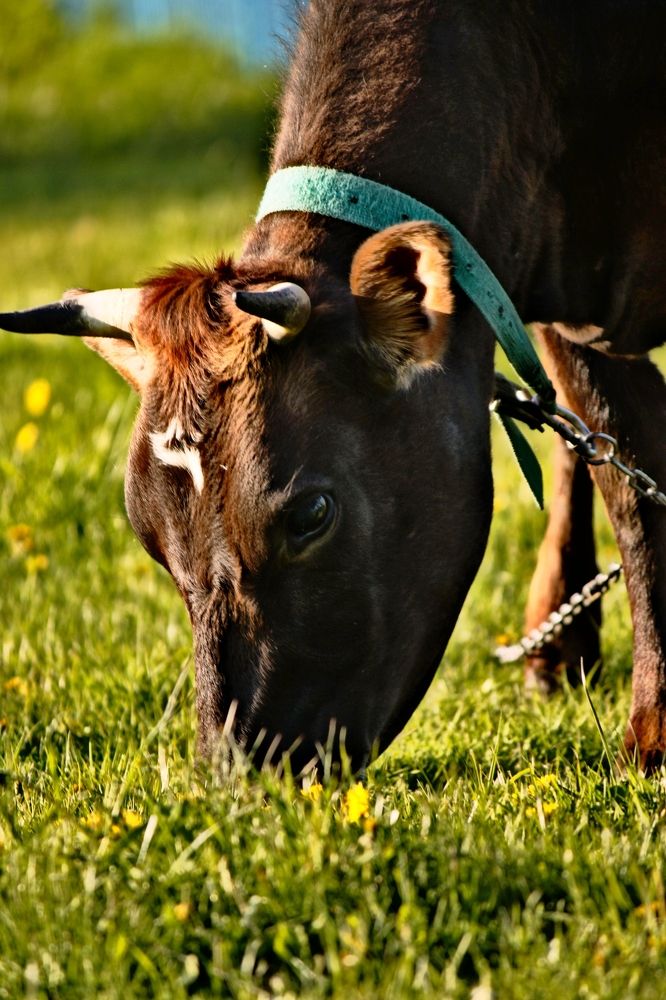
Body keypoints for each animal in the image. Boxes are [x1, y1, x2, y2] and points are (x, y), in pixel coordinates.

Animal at [2, 0, 666, 774]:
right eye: (148, 532)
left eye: (311, 514)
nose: (236, 766)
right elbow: (622, 471)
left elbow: (632, 484)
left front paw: (650, 738)